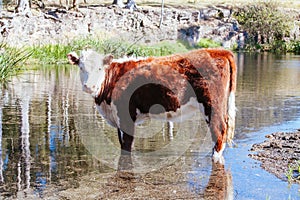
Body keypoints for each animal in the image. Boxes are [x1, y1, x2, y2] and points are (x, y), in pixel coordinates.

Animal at [67, 48, 237, 164]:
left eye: (99, 68)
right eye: (81, 67)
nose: (89, 86)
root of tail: (220, 51)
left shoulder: (126, 115)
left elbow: (126, 145)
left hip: (212, 104)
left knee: (219, 130)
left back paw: (215, 157)